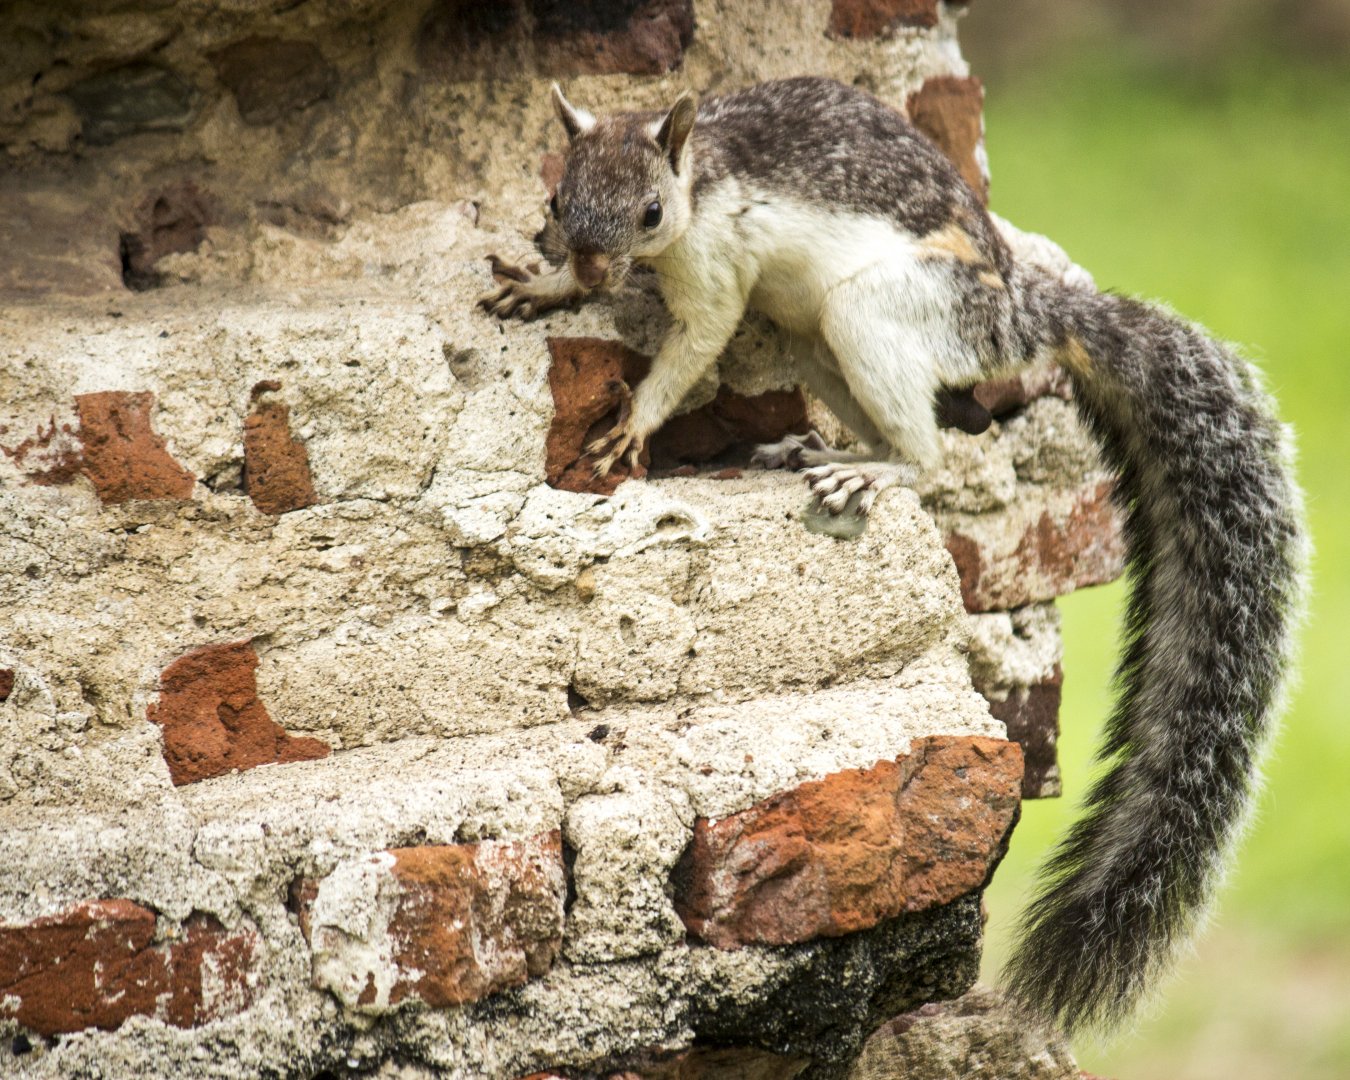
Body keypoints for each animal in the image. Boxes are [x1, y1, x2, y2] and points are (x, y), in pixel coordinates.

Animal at [479, 76, 1306, 1035]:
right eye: (555, 201)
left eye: (651, 212)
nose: (592, 272)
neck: (702, 178)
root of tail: (1016, 320)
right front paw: (541, 287)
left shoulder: (718, 269)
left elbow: (695, 344)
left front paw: (635, 421)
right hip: (809, 338)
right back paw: (811, 447)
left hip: (874, 314)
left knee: (928, 450)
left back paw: (872, 469)